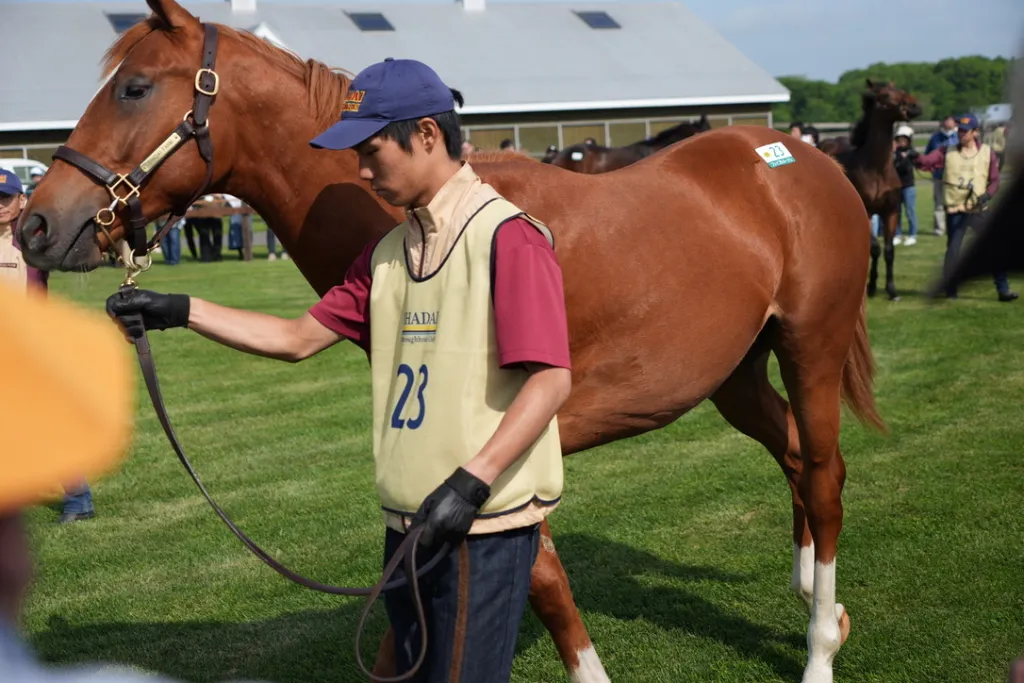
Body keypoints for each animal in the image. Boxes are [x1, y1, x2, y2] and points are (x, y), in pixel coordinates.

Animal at [825, 80, 922, 301]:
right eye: (885, 96)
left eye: (901, 89)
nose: (915, 106)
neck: (876, 168)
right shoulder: (867, 212)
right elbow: (875, 248)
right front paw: (870, 286)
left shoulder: (891, 211)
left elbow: (888, 250)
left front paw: (892, 290)